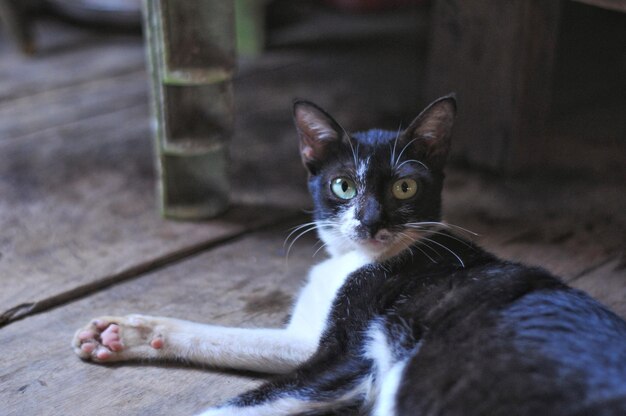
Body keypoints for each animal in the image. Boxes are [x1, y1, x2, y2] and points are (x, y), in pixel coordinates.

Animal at [70, 96, 624, 414]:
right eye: (342, 185)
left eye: (404, 187)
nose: (371, 220)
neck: (350, 262)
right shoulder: (313, 343)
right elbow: (229, 338)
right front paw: (123, 333)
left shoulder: (347, 363)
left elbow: (235, 406)